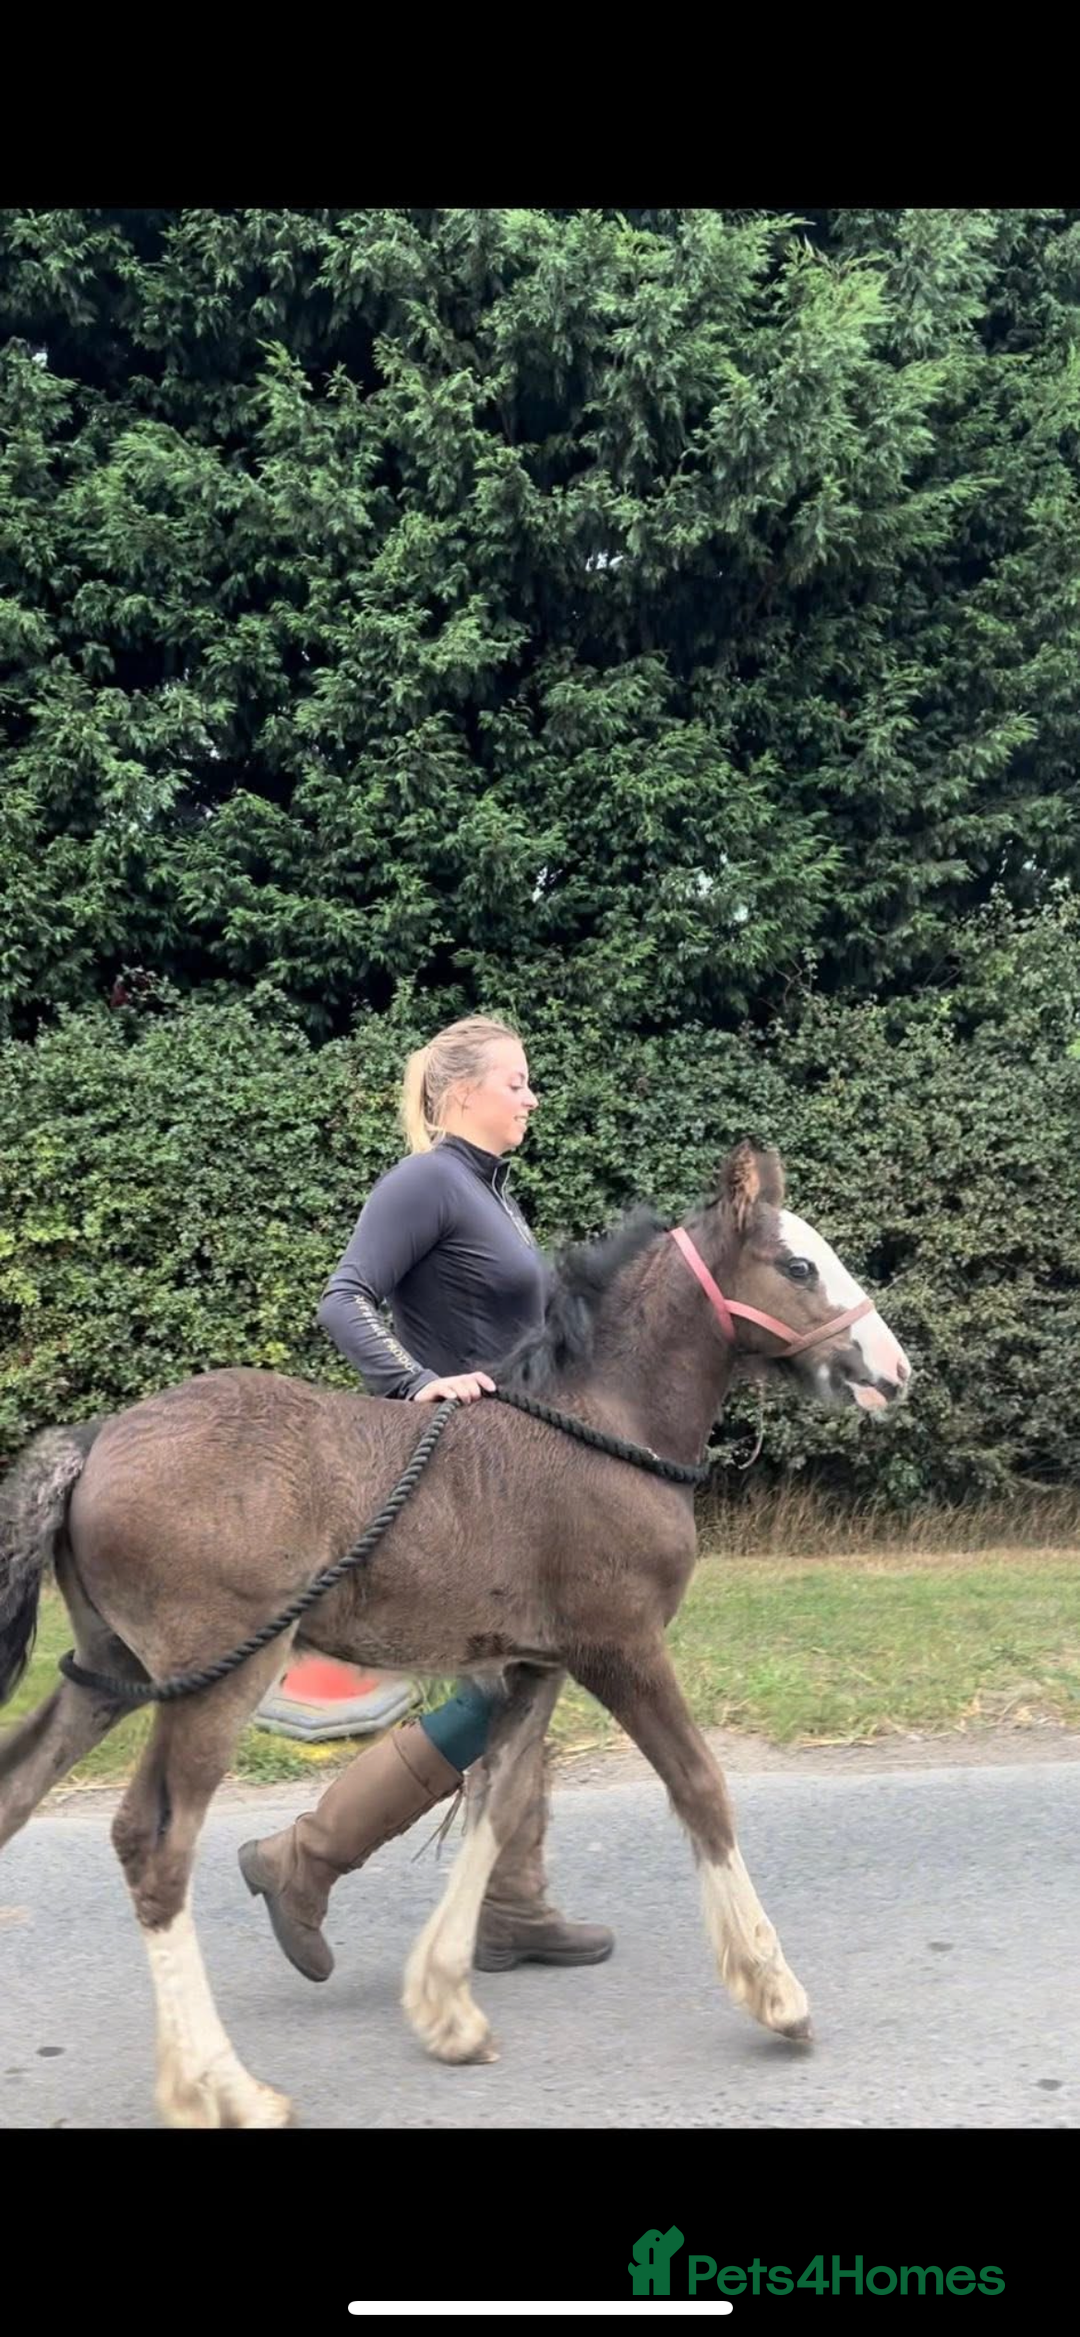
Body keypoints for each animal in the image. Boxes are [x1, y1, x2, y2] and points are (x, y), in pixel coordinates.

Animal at [0, 1141, 910, 2128]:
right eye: (797, 1265)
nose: (893, 1368)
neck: (604, 1424)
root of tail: (95, 1439)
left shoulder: (535, 1662)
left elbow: (495, 1805)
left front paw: (446, 2009)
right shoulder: (621, 1647)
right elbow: (700, 1786)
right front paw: (776, 1993)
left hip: (108, 1670)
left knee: (16, 1788)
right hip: (215, 1677)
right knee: (154, 1844)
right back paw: (224, 2086)